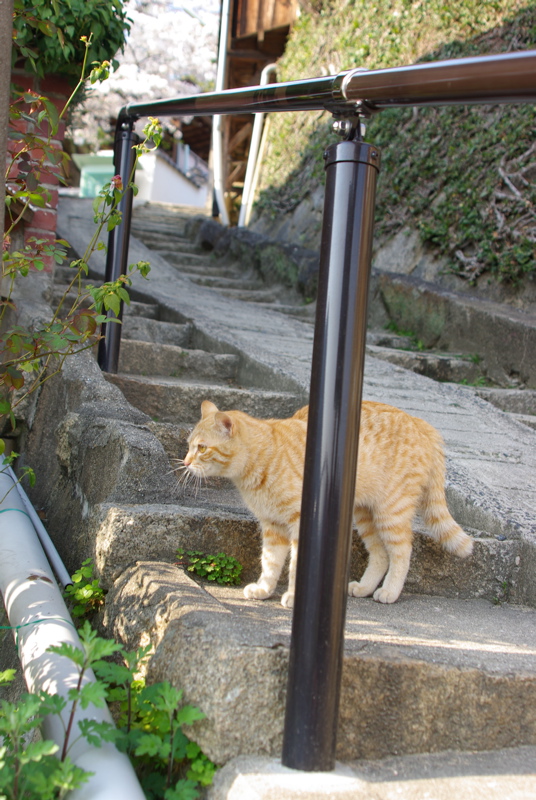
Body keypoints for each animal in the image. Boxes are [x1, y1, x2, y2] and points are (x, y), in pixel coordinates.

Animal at [184, 400, 474, 608]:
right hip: (365, 516)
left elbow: (294, 566)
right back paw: (365, 588)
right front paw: (264, 589)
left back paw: (390, 591)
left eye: (202, 448)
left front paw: (293, 597)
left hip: (390, 513)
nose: (185, 462)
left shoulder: (300, 523)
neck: (263, 459)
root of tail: (422, 423)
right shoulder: (273, 526)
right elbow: (270, 562)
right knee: (380, 554)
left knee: (402, 552)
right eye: (189, 446)